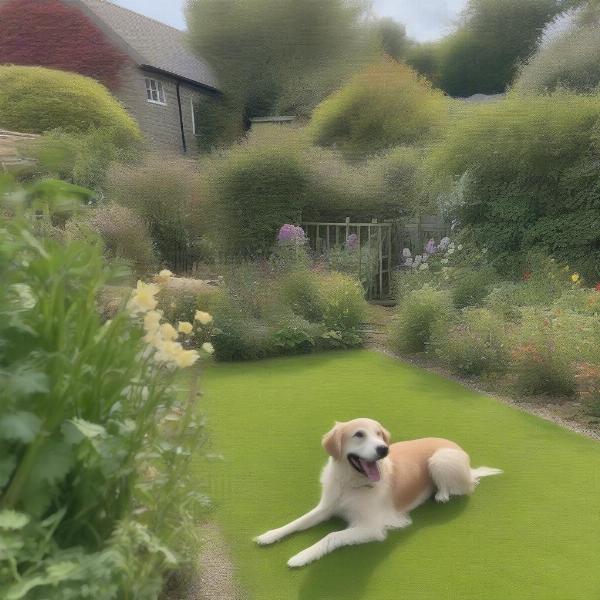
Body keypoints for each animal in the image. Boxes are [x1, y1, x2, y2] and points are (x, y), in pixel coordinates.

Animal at [253, 418, 502, 568]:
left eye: (380, 434)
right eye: (359, 435)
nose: (384, 449)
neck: (350, 484)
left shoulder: (371, 527)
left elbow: (331, 535)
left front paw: (302, 556)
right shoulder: (326, 508)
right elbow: (297, 521)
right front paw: (270, 535)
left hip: (439, 459)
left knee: (466, 486)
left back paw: (442, 494)